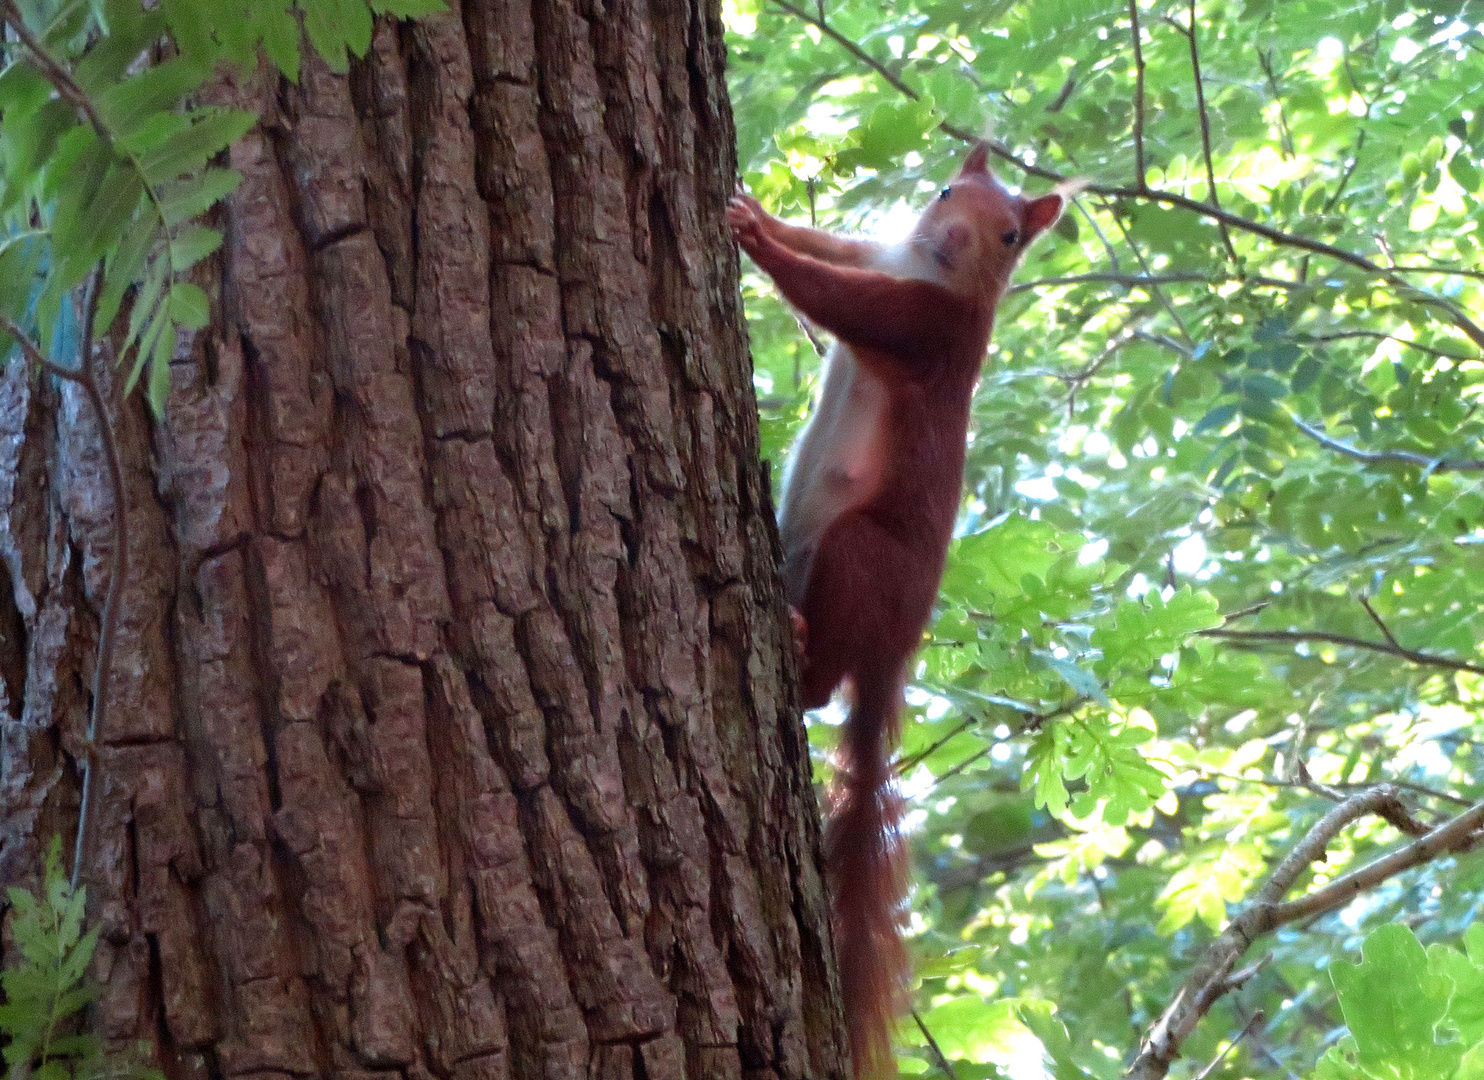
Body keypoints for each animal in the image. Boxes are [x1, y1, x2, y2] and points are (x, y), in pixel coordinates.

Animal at [727, 145, 1056, 1080]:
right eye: (946, 191)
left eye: (1010, 234)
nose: (950, 239)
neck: (926, 272)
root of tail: (893, 655)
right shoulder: (879, 254)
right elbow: (832, 248)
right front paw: (760, 205)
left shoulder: (930, 330)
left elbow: (837, 298)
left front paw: (756, 239)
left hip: (854, 558)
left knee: (816, 688)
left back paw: (801, 648)